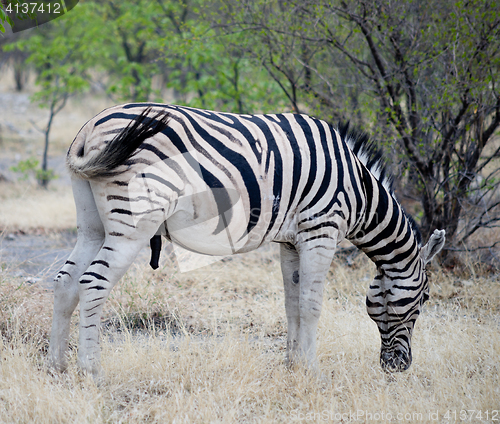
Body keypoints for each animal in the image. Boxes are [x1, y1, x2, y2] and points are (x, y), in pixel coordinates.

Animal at [47, 103, 446, 380]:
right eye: (425, 298)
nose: (399, 367)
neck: (360, 191)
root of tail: (90, 127)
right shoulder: (321, 230)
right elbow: (312, 305)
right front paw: (312, 371)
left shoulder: (291, 241)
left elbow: (292, 304)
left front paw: (292, 365)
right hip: (133, 223)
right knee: (93, 283)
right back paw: (91, 370)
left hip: (93, 224)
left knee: (66, 281)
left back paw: (57, 366)